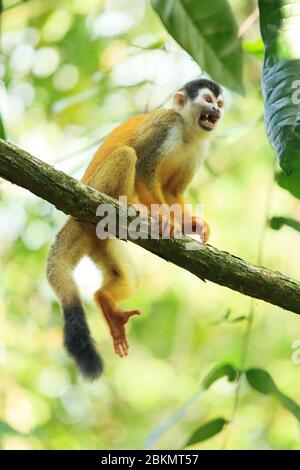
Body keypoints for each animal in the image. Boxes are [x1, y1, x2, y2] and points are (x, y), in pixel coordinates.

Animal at [47, 77, 224, 378]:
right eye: (208, 100)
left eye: (219, 103)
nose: (217, 111)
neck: (188, 131)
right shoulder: (165, 124)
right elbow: (143, 166)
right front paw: (163, 217)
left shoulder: (201, 148)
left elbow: (173, 191)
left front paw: (193, 223)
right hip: (95, 189)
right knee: (128, 154)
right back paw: (131, 206)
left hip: (100, 243)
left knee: (129, 277)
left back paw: (106, 302)